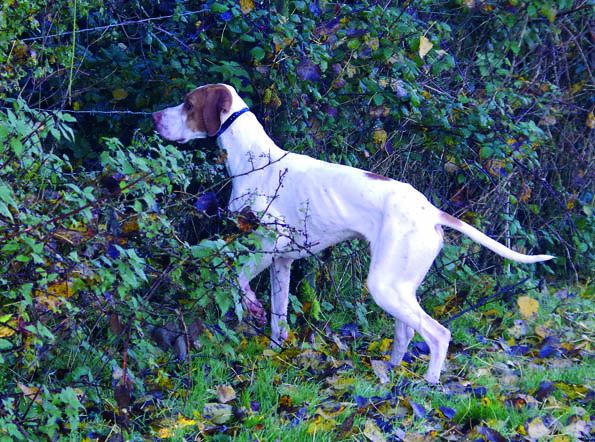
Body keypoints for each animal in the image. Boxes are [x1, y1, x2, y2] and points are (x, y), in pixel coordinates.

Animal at [155, 83, 556, 384]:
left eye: (188, 104)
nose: (155, 117)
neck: (257, 159)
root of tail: (431, 211)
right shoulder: (282, 262)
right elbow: (278, 318)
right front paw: (275, 353)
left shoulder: (269, 242)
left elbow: (237, 279)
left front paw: (251, 306)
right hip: (399, 286)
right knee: (407, 333)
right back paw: (389, 374)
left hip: (384, 286)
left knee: (438, 335)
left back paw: (428, 386)